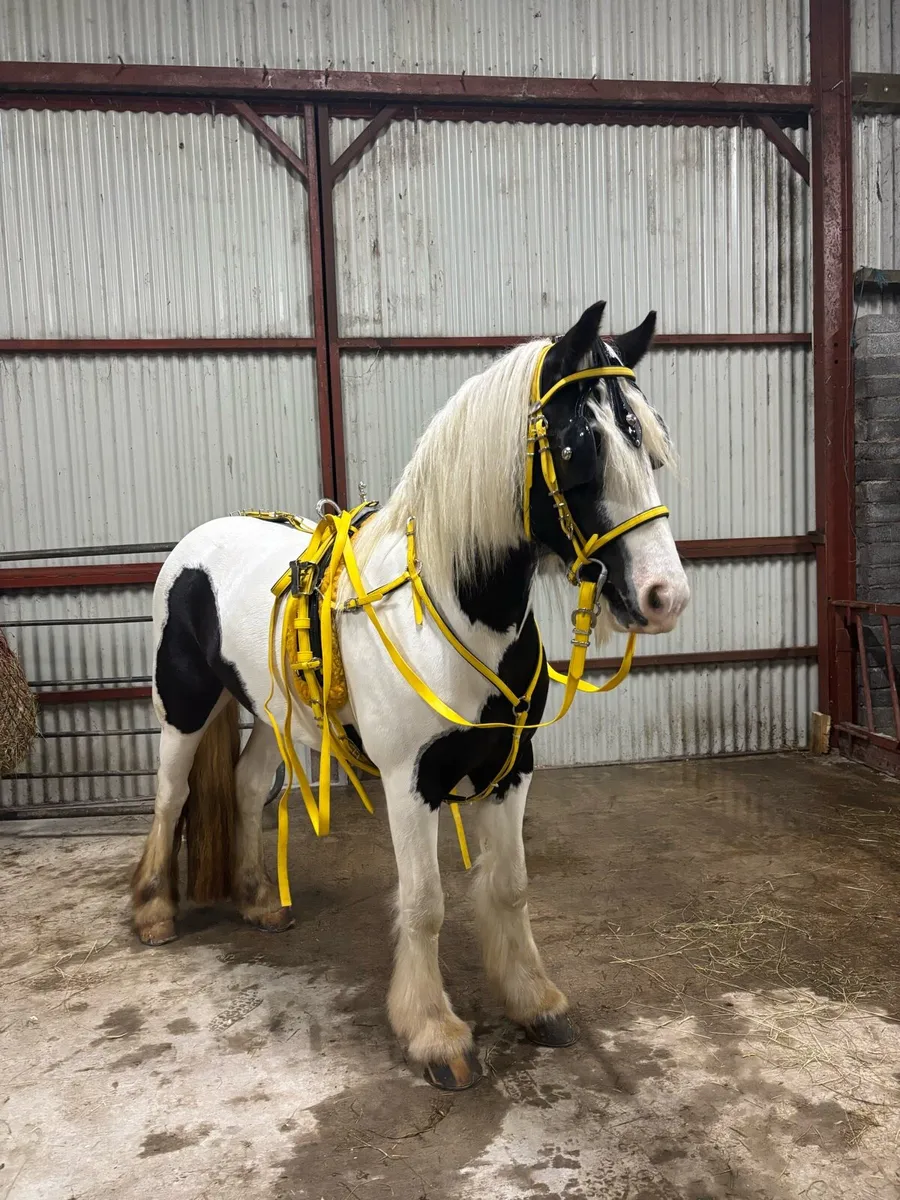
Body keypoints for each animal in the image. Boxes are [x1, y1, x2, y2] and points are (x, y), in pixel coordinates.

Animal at [132, 301, 690, 1090]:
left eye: (649, 439)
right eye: (580, 445)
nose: (663, 596)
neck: (449, 611)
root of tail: (195, 544)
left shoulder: (511, 770)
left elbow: (509, 887)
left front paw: (534, 1001)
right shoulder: (408, 780)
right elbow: (425, 903)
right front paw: (434, 1034)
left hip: (275, 718)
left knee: (244, 787)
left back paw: (259, 900)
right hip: (183, 704)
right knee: (171, 794)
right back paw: (154, 911)